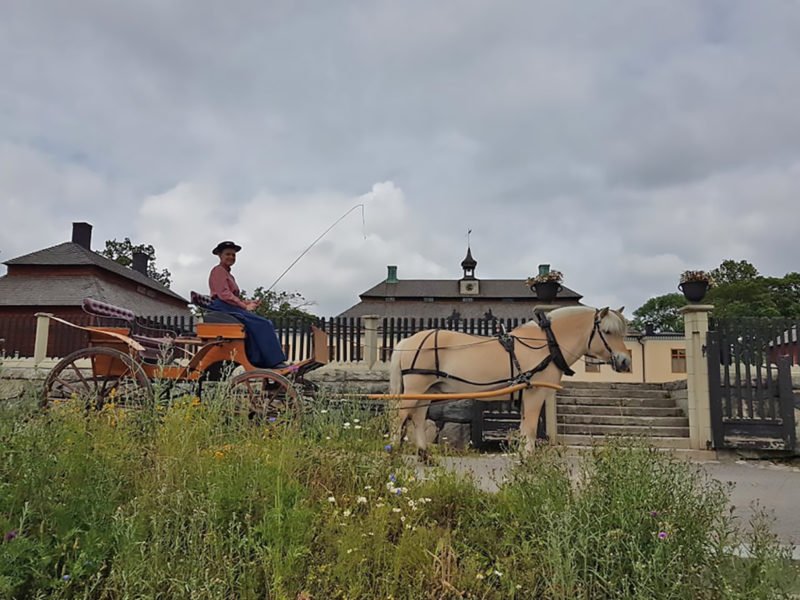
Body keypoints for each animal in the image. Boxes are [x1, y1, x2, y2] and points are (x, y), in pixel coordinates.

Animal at [388, 308, 632, 458]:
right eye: (607, 332)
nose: (625, 361)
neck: (546, 344)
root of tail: (407, 341)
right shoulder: (535, 393)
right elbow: (531, 428)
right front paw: (529, 462)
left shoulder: (526, 394)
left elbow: (524, 428)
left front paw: (523, 458)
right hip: (415, 387)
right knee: (399, 418)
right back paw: (391, 454)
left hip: (427, 390)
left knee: (418, 418)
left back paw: (424, 455)